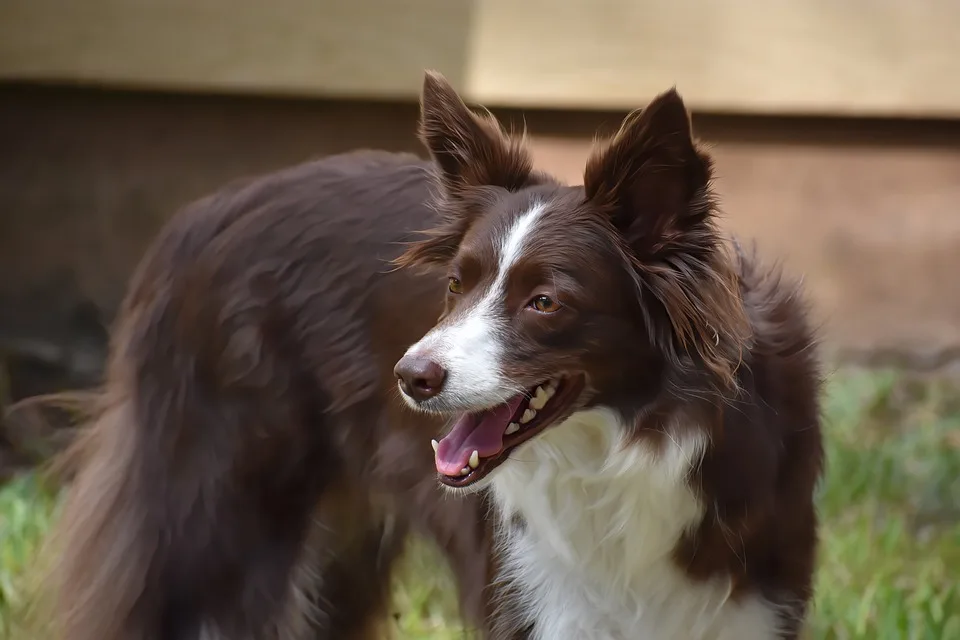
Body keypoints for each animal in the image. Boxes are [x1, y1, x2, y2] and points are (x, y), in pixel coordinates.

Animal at [45, 71, 820, 640]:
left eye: (545, 302)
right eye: (455, 285)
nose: (409, 378)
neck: (628, 445)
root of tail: (195, 220)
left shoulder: (748, 597)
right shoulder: (539, 597)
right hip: (217, 512)